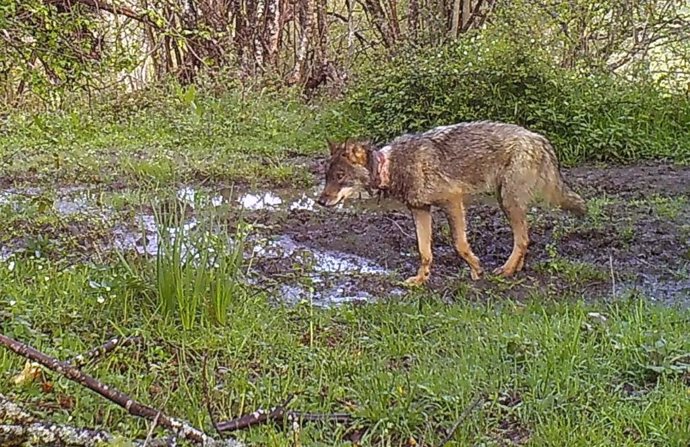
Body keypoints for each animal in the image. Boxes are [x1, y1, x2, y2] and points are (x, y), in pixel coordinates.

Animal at [314, 121, 584, 286]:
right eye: (327, 176)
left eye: (340, 176)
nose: (320, 201)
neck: (390, 166)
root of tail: (539, 138)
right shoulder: (420, 210)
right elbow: (424, 251)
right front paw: (420, 280)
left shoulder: (453, 201)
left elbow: (459, 244)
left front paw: (477, 270)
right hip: (506, 201)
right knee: (525, 238)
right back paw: (515, 268)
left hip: (508, 202)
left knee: (523, 239)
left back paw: (506, 270)